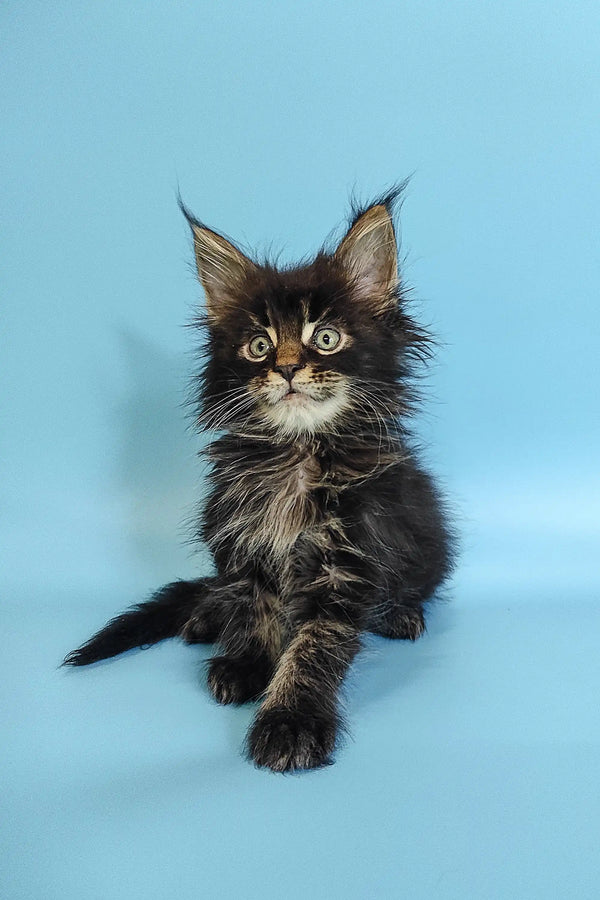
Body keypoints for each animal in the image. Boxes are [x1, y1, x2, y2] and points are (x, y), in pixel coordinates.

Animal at [64, 190, 454, 772]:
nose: (288, 368)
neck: (296, 456)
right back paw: (205, 618)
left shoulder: (347, 560)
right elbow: (253, 608)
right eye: (258, 346)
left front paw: (290, 721)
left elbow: (314, 646)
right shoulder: (240, 539)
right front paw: (248, 663)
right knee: (218, 594)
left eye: (326, 338)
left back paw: (401, 613)